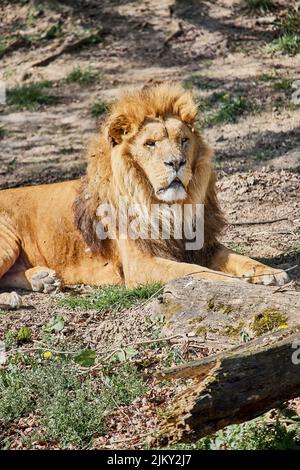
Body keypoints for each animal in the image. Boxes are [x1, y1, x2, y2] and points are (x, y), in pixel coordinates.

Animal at [0, 81, 290, 308]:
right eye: (150, 144)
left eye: (183, 140)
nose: (176, 162)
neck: (168, 206)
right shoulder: (140, 263)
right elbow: (196, 272)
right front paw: (240, 284)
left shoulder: (200, 244)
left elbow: (238, 257)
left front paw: (270, 273)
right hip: (8, 240)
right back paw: (14, 297)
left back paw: (43, 280)